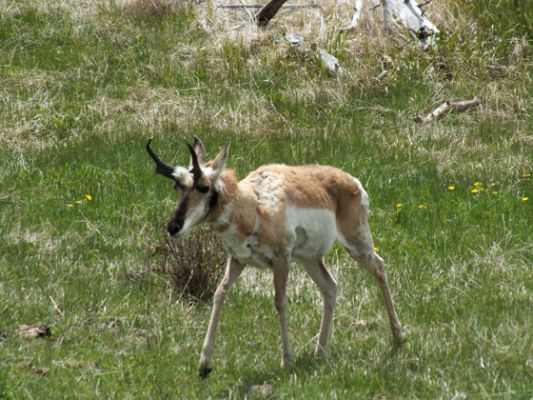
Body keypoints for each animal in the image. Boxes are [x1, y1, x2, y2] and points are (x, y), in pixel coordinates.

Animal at [145, 138, 404, 378]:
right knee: (330, 287)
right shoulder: (237, 260)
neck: (254, 204)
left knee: (379, 267)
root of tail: (351, 181)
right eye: (177, 187)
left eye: (203, 186)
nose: (173, 227)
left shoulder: (281, 259)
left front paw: (286, 359)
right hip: (309, 259)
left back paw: (398, 336)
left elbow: (279, 301)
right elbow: (219, 293)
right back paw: (320, 351)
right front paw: (204, 364)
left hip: (356, 243)